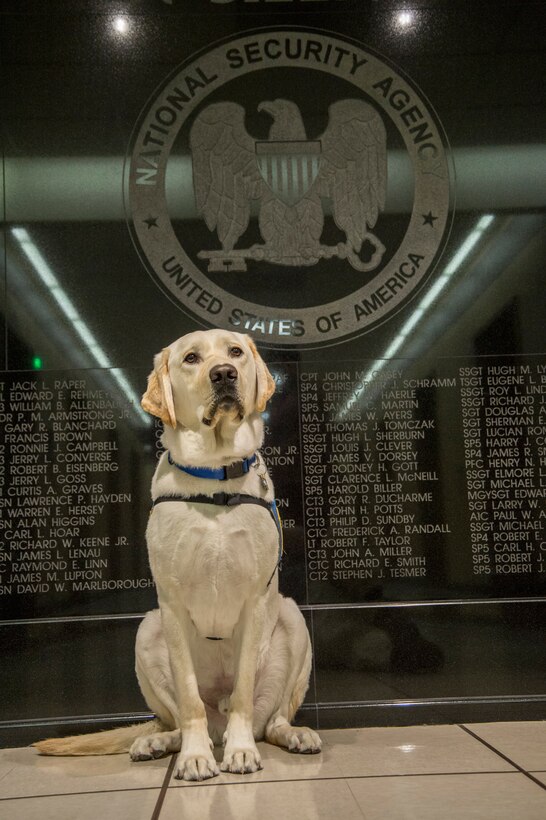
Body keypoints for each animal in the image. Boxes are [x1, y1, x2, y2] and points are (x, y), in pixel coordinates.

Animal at [36, 330, 318, 780]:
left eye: (235, 352)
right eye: (191, 359)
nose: (224, 374)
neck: (216, 477)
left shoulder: (257, 599)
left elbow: (243, 692)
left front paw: (240, 751)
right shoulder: (170, 601)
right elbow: (188, 700)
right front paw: (195, 757)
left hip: (291, 620)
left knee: (270, 720)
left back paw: (291, 734)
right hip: (147, 630)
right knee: (174, 719)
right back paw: (161, 742)